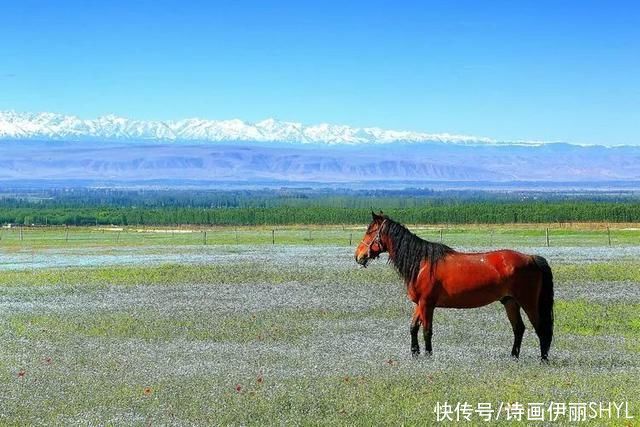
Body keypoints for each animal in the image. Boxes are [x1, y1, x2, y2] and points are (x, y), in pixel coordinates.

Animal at [356, 212, 556, 362]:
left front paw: (428, 356)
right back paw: (514, 357)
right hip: (510, 302)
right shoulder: (419, 304)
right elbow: (413, 327)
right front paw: (415, 354)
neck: (422, 264)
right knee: (519, 328)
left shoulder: (427, 304)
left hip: (528, 302)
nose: (358, 256)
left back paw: (543, 360)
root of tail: (531, 258)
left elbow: (427, 331)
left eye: (370, 231)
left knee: (541, 328)